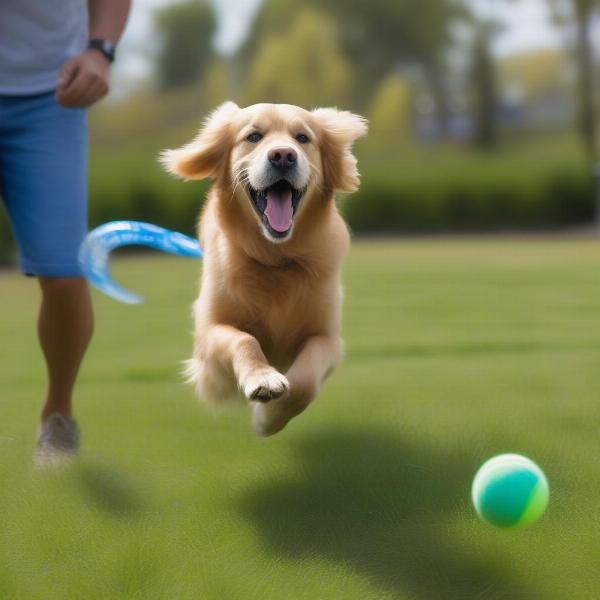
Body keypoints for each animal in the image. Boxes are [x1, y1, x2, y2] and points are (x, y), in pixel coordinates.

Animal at [161, 103, 366, 436]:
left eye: (302, 138)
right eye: (253, 136)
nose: (283, 155)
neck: (275, 261)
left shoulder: (327, 338)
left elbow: (304, 382)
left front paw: (265, 419)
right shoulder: (209, 333)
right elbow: (245, 339)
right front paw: (263, 380)